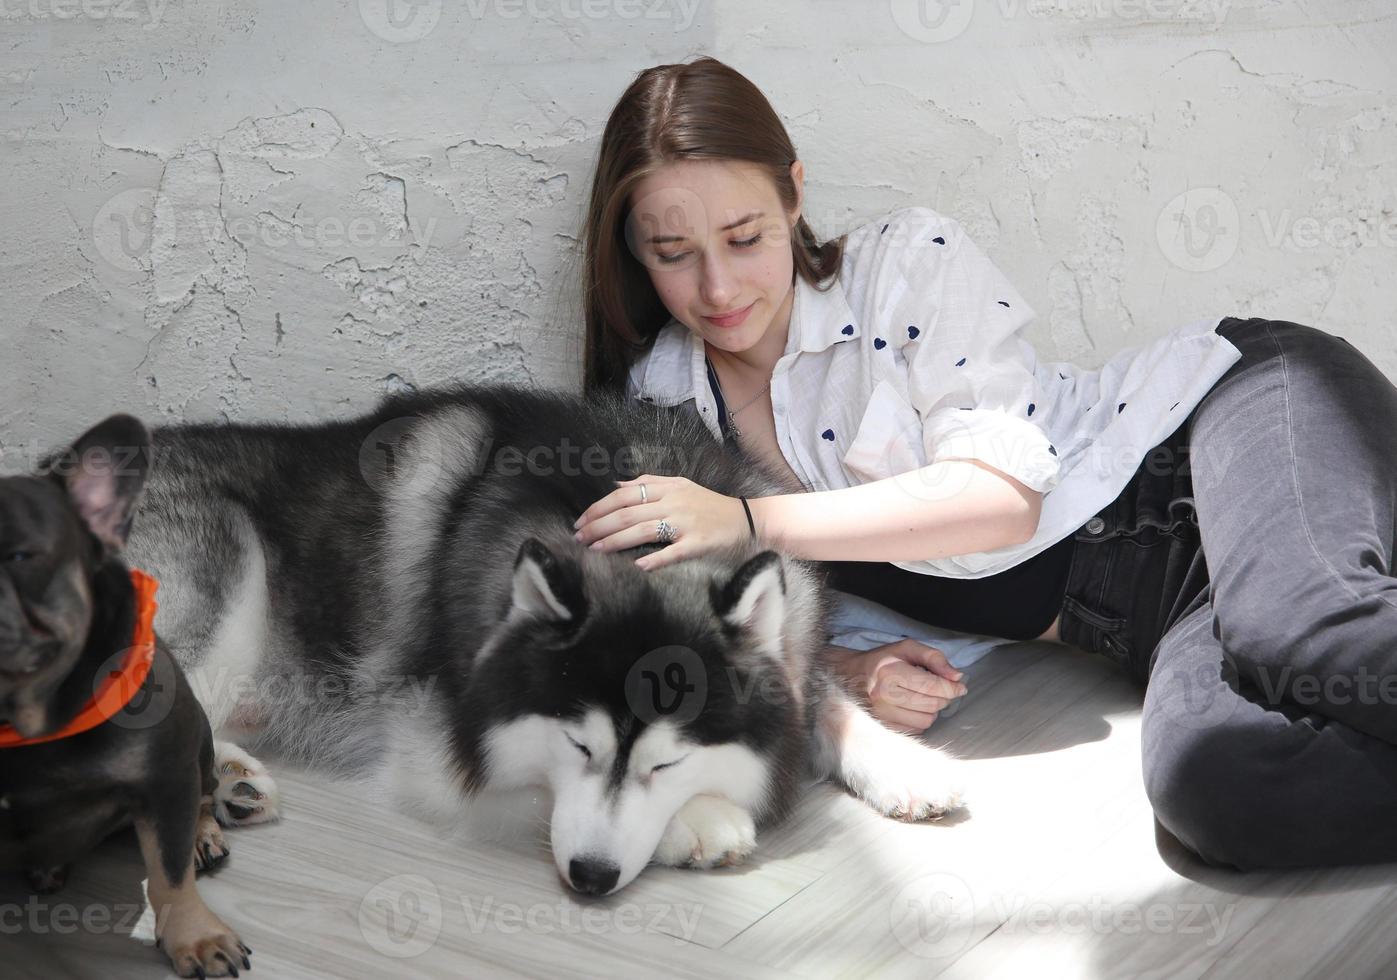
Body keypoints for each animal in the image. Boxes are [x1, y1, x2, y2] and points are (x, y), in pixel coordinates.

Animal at [122, 385, 961, 899]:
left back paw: (231, 783)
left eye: (668, 760)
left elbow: (827, 702)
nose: (589, 879)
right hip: (227, 566)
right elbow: (540, 792)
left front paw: (908, 763)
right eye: (578, 745)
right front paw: (700, 820)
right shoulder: (434, 745)